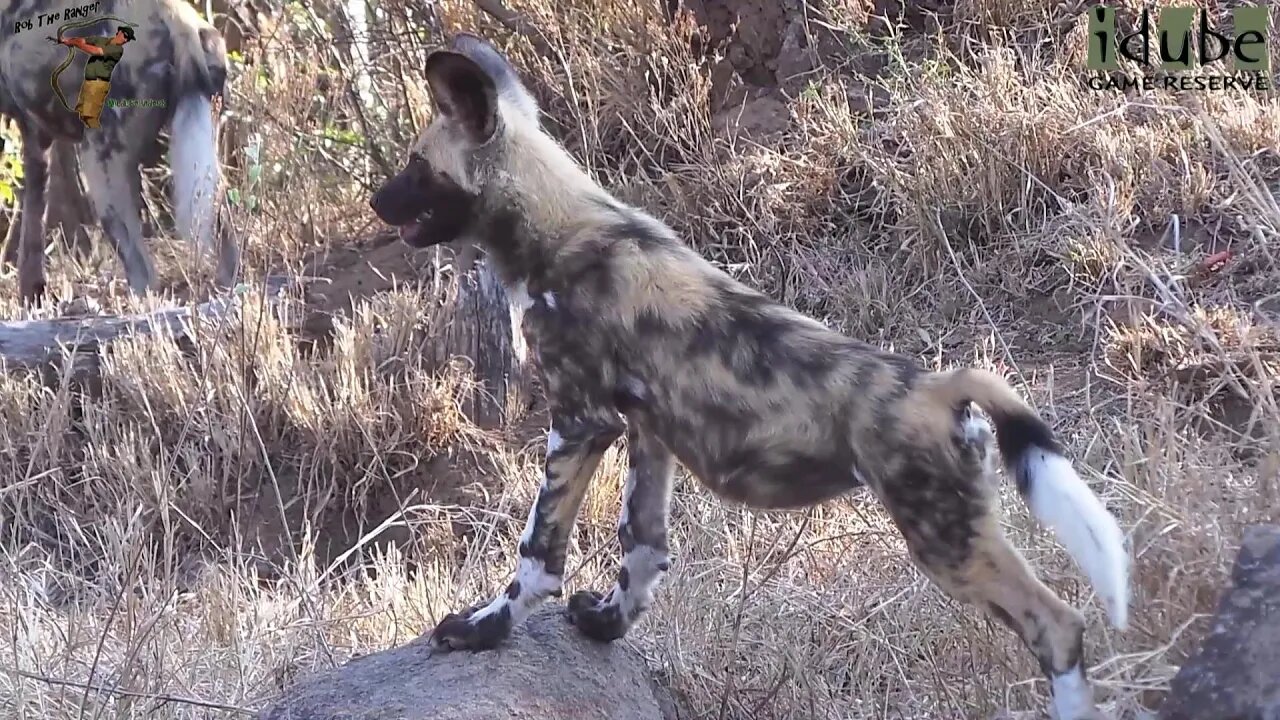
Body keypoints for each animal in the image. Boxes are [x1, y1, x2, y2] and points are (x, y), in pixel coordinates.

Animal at [0, 0, 239, 301]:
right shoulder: (36, 139)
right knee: (225, 243)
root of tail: (175, 15)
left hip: (100, 168)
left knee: (144, 274)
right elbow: (31, 235)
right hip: (200, 165)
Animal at [368, 35, 1131, 717]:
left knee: (1058, 626)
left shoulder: (579, 423)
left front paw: (482, 629)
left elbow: (536, 554)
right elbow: (641, 547)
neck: (556, 223)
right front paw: (605, 625)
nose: (376, 202)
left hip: (946, 544)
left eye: (415, 165)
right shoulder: (647, 430)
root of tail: (939, 386)